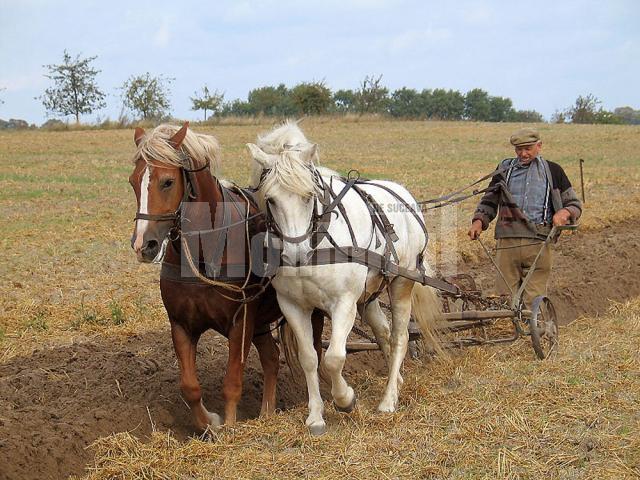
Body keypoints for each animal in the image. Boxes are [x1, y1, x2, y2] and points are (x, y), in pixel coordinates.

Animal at [128, 122, 322, 430]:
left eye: (167, 181)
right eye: (133, 181)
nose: (142, 245)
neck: (205, 249)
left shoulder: (240, 322)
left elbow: (232, 381)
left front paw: (230, 427)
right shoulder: (181, 324)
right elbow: (190, 387)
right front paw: (210, 423)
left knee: (314, 353)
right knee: (272, 357)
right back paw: (267, 412)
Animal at [245, 121, 440, 436]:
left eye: (309, 196)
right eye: (271, 199)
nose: (296, 255)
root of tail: (404, 195)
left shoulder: (344, 303)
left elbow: (334, 358)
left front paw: (345, 399)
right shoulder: (292, 305)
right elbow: (310, 358)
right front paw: (315, 416)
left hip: (402, 283)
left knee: (399, 336)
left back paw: (388, 400)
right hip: (369, 294)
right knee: (383, 331)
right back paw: (395, 380)